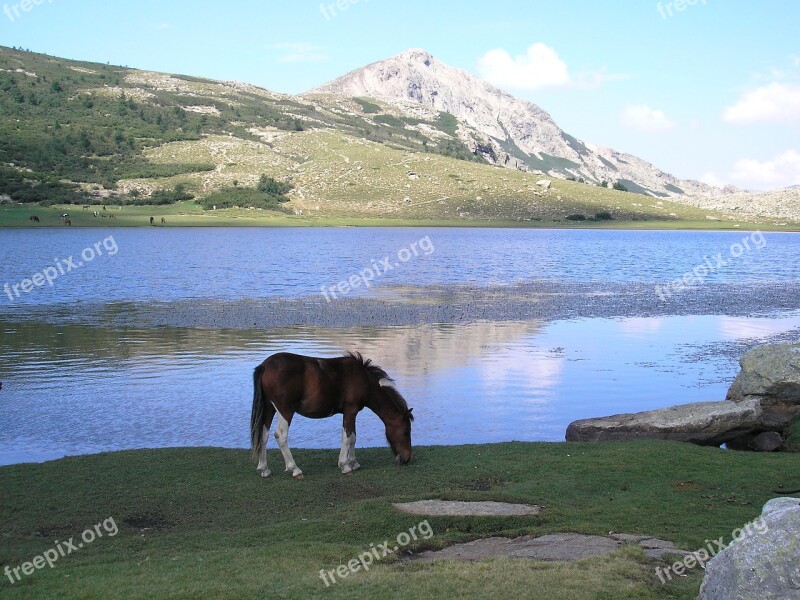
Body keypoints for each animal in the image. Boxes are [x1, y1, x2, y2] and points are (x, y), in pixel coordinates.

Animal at [253, 352, 416, 478]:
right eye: (406, 431)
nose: (407, 458)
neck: (364, 379)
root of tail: (265, 365)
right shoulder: (350, 411)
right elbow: (347, 437)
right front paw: (345, 465)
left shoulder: (352, 413)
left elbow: (353, 437)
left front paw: (354, 462)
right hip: (285, 410)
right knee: (281, 436)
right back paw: (295, 469)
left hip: (269, 408)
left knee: (263, 435)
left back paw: (264, 469)